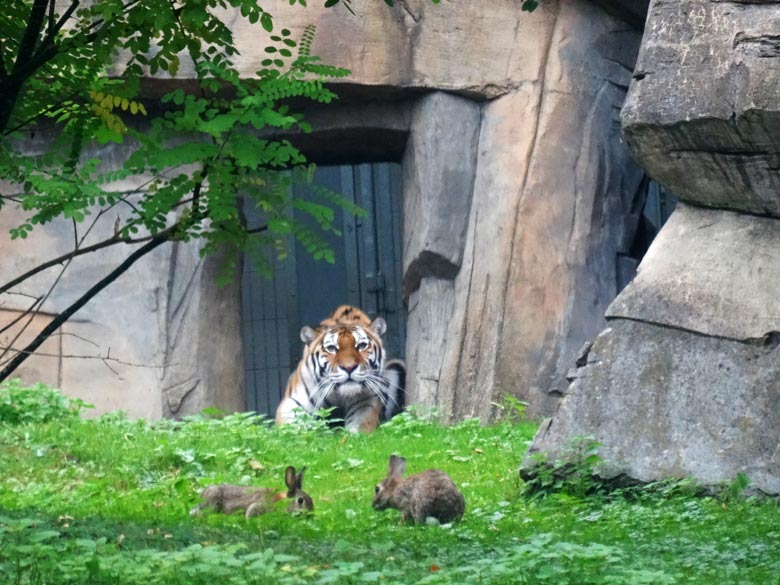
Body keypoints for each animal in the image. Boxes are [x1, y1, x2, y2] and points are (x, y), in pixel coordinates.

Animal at [276, 306, 408, 434]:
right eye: (331, 348)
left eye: (362, 346)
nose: (349, 367)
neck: (338, 395)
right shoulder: (293, 402)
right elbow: (290, 428)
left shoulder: (366, 403)